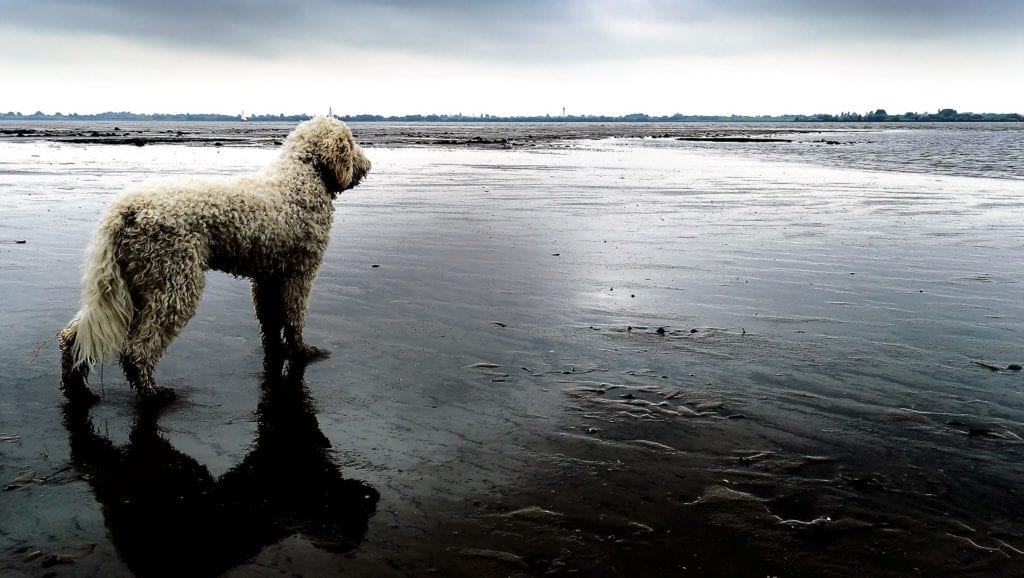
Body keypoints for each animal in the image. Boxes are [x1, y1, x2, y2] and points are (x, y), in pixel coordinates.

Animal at [58, 116, 370, 405]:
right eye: (351, 143)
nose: (367, 165)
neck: (302, 178)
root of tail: (125, 210)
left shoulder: (268, 275)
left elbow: (270, 318)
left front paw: (277, 350)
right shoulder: (300, 272)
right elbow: (294, 316)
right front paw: (302, 351)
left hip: (135, 282)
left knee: (74, 337)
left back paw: (78, 390)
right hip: (173, 282)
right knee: (137, 349)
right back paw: (152, 393)